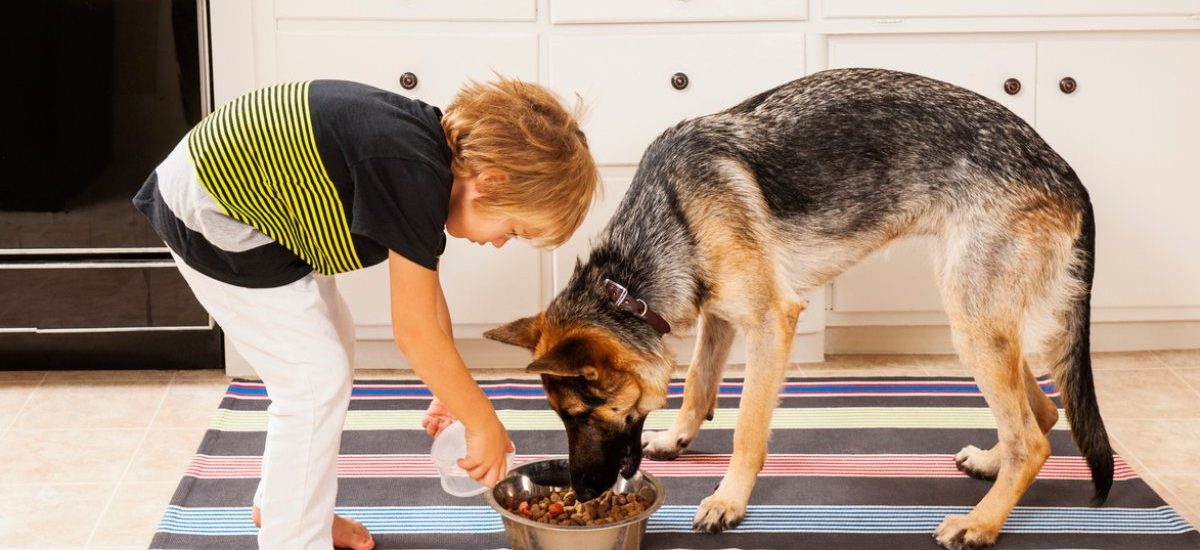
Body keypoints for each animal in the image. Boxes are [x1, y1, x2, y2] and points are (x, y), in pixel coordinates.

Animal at [480, 69, 1113, 550]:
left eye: (581, 414)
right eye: (561, 418)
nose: (585, 495)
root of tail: (1064, 169)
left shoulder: (769, 322)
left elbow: (746, 428)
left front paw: (729, 500)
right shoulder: (718, 314)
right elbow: (698, 385)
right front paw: (678, 438)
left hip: (971, 321)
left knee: (1032, 440)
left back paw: (981, 522)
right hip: (980, 320)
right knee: (1042, 413)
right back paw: (989, 464)